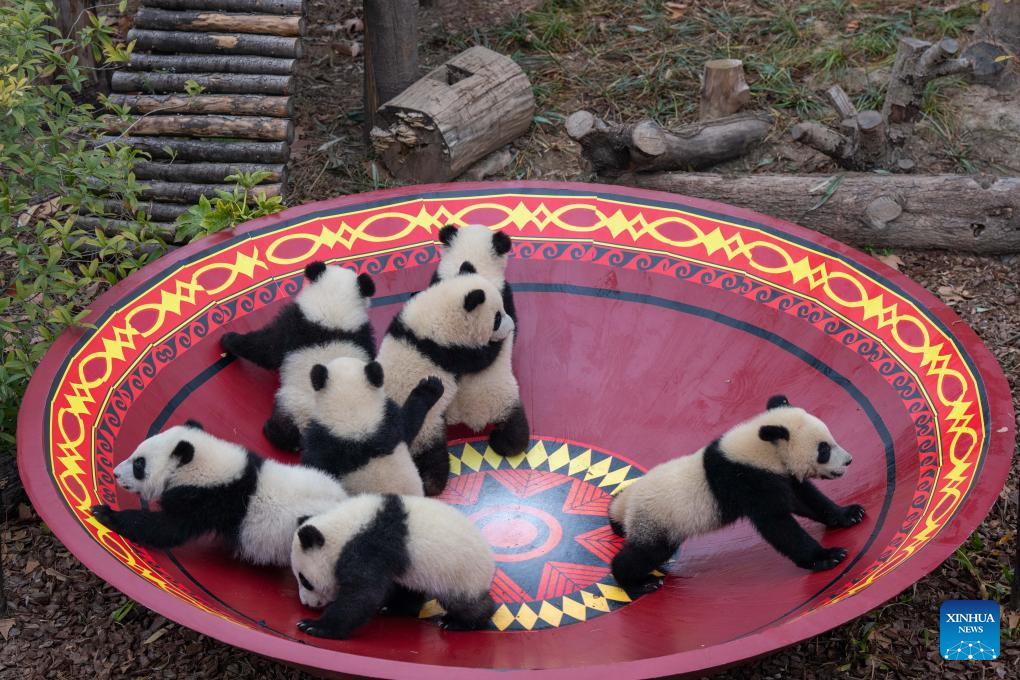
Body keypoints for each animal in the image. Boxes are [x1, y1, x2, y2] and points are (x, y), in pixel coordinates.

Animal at [221, 261, 376, 452]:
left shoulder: (292, 325)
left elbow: (265, 347)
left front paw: (228, 340)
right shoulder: (364, 337)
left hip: (293, 404)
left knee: (286, 428)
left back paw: (272, 431)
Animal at [290, 493, 496, 639]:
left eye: (305, 580)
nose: (306, 604)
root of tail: (490, 560)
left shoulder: (370, 547)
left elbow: (363, 595)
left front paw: (313, 626)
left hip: (460, 573)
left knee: (463, 602)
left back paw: (460, 622)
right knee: (410, 589)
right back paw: (393, 608)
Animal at [376, 273, 514, 496]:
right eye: (497, 318)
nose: (509, 325)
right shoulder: (450, 353)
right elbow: (482, 359)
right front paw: (498, 343)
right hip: (427, 430)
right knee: (434, 458)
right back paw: (433, 483)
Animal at [608, 395, 865, 592]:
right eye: (824, 449)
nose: (849, 460)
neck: (761, 448)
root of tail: (629, 501)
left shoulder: (776, 474)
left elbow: (805, 499)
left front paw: (850, 514)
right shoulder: (746, 480)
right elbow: (778, 524)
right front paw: (827, 556)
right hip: (659, 519)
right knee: (647, 552)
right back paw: (637, 582)